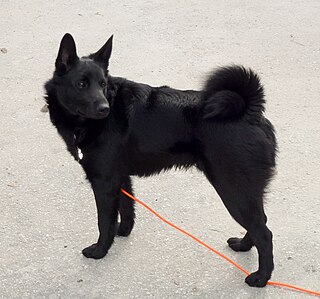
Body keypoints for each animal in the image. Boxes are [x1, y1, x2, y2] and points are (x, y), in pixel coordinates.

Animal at [43, 33, 276, 288]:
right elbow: (126, 209)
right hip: (246, 191)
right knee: (261, 221)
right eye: (81, 84)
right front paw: (122, 232)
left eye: (102, 84)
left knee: (264, 233)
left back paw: (261, 277)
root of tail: (250, 113)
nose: (105, 108)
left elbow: (104, 221)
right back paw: (243, 246)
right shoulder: (120, 177)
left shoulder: (104, 182)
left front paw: (100, 250)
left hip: (233, 190)